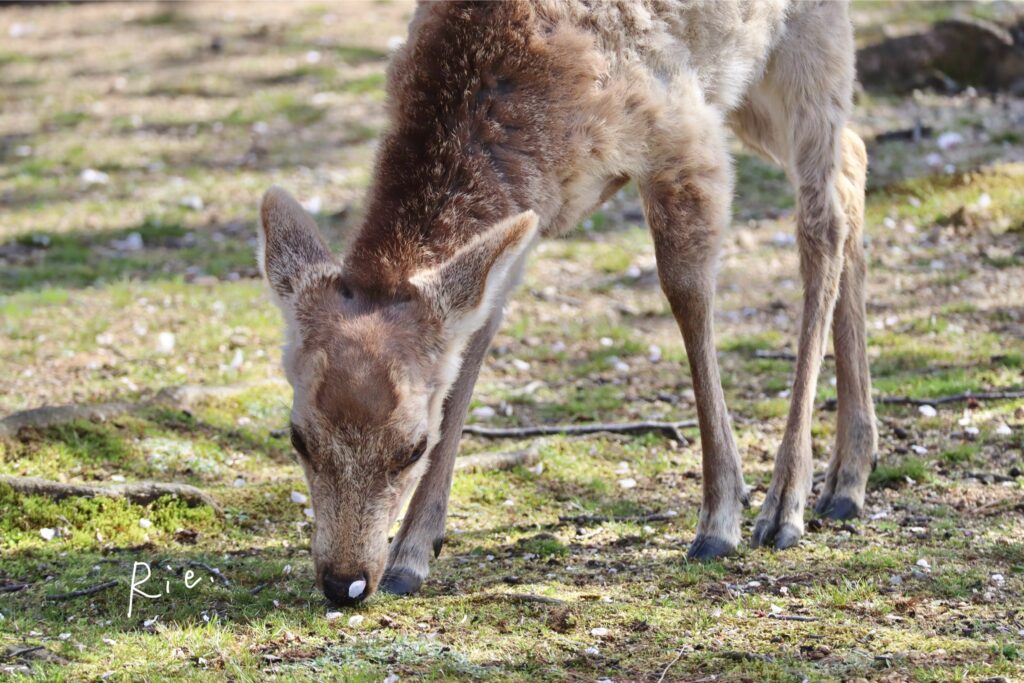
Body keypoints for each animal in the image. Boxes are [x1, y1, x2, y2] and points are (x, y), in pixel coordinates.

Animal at [257, 0, 877, 606]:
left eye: (413, 447)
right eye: (297, 437)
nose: (345, 582)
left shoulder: (684, 133)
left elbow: (687, 294)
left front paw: (720, 518)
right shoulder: (523, 223)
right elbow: (474, 345)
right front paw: (414, 552)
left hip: (806, 43)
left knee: (821, 217)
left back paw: (786, 504)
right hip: (752, 90)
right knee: (853, 157)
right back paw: (848, 478)